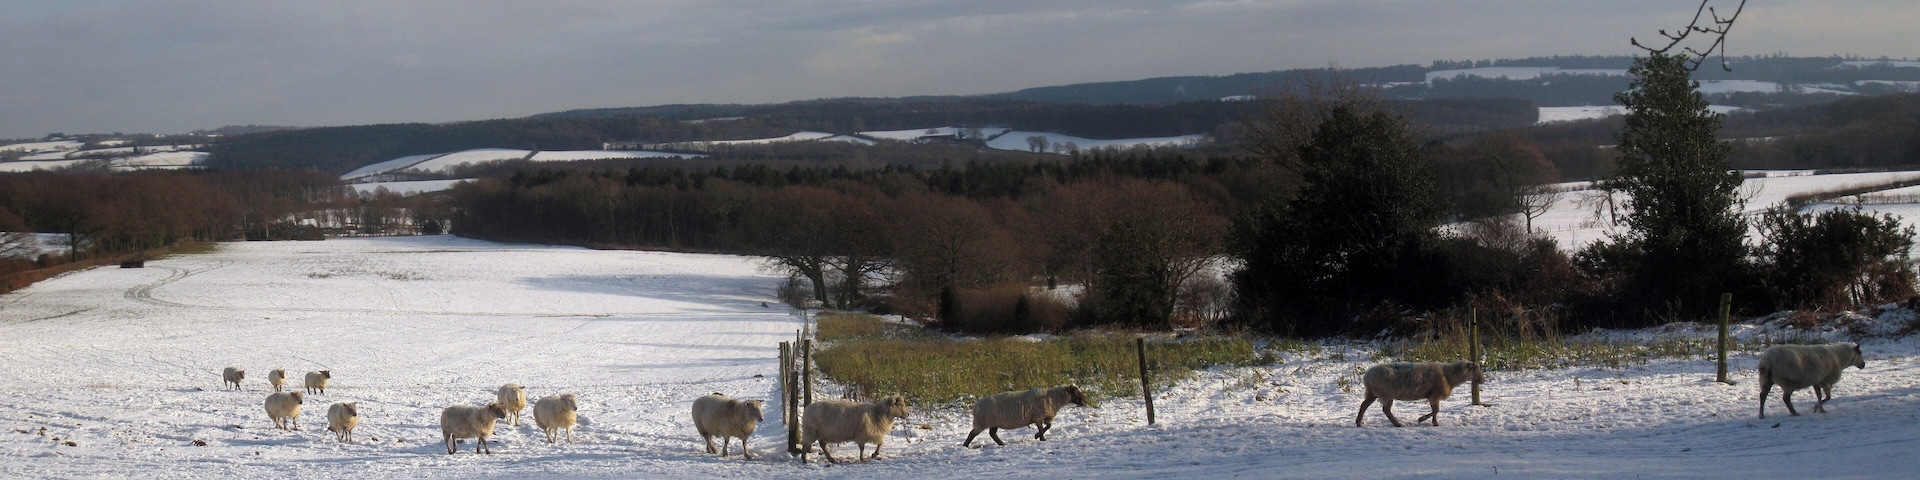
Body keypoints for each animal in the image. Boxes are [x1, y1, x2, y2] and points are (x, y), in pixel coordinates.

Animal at [1355, 361, 1484, 427]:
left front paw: (1434, 423)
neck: (1449, 376)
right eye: (1476, 369)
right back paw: (1397, 424)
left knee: (1364, 405)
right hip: (1385, 394)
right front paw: (1421, 419)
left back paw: (1359, 422)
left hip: (1373, 392)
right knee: (1385, 410)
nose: (1483, 380)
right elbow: (1436, 410)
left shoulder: (1432, 396)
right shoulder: (1434, 395)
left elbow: (1435, 410)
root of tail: (1367, 376)